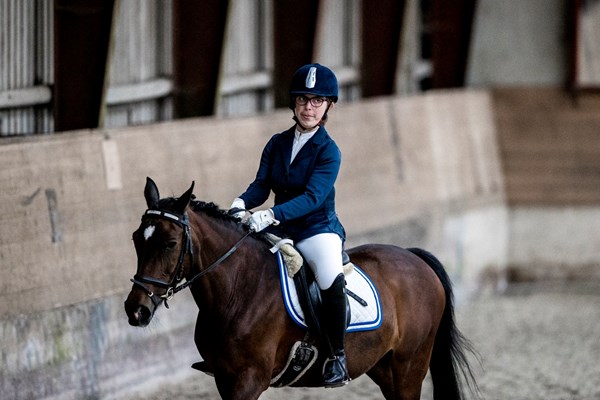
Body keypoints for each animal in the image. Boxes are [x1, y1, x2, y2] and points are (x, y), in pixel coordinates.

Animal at [123, 179, 478, 400]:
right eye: (137, 239)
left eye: (170, 243)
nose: (136, 310)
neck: (237, 290)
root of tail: (414, 257)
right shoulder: (224, 378)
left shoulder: (249, 379)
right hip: (384, 367)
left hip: (409, 365)